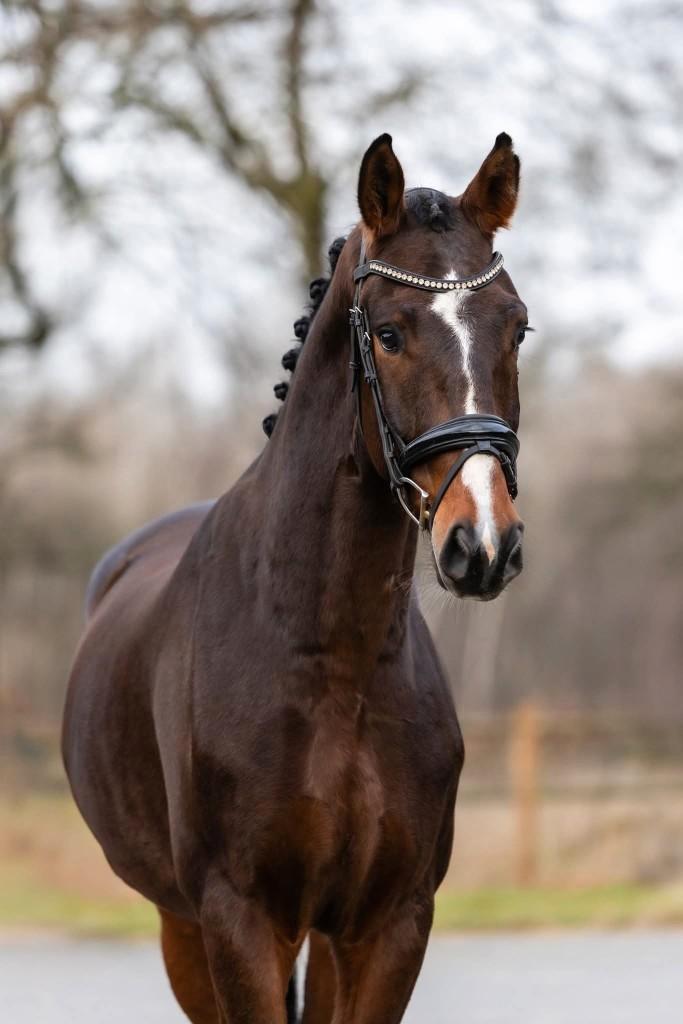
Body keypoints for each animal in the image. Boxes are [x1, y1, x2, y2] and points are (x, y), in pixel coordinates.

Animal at [62, 132, 528, 1024]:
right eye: (387, 333)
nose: (482, 543)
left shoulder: (388, 924)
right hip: (182, 924)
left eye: (516, 328)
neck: (332, 661)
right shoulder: (238, 920)